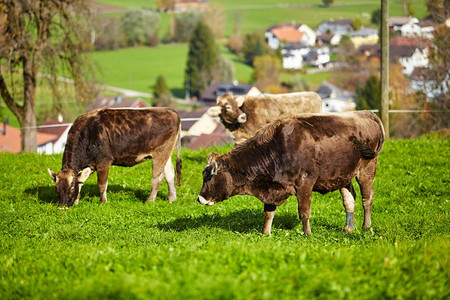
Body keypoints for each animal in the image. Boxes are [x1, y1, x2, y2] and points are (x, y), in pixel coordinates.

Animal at [48, 108, 182, 209]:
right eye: (56, 189)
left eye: (71, 188)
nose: (62, 207)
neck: (87, 135)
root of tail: (170, 111)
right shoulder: (91, 165)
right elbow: (81, 182)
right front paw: (76, 201)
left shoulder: (104, 162)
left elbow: (102, 185)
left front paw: (103, 202)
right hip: (166, 153)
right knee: (169, 173)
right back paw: (172, 199)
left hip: (160, 152)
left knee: (157, 177)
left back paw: (149, 200)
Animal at [197, 111, 384, 236]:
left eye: (209, 176)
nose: (200, 198)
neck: (277, 147)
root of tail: (366, 113)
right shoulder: (271, 187)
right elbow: (268, 212)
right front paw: (265, 233)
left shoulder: (305, 183)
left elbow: (304, 211)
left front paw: (307, 233)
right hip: (343, 176)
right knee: (349, 200)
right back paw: (348, 228)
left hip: (367, 170)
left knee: (367, 198)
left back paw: (366, 226)